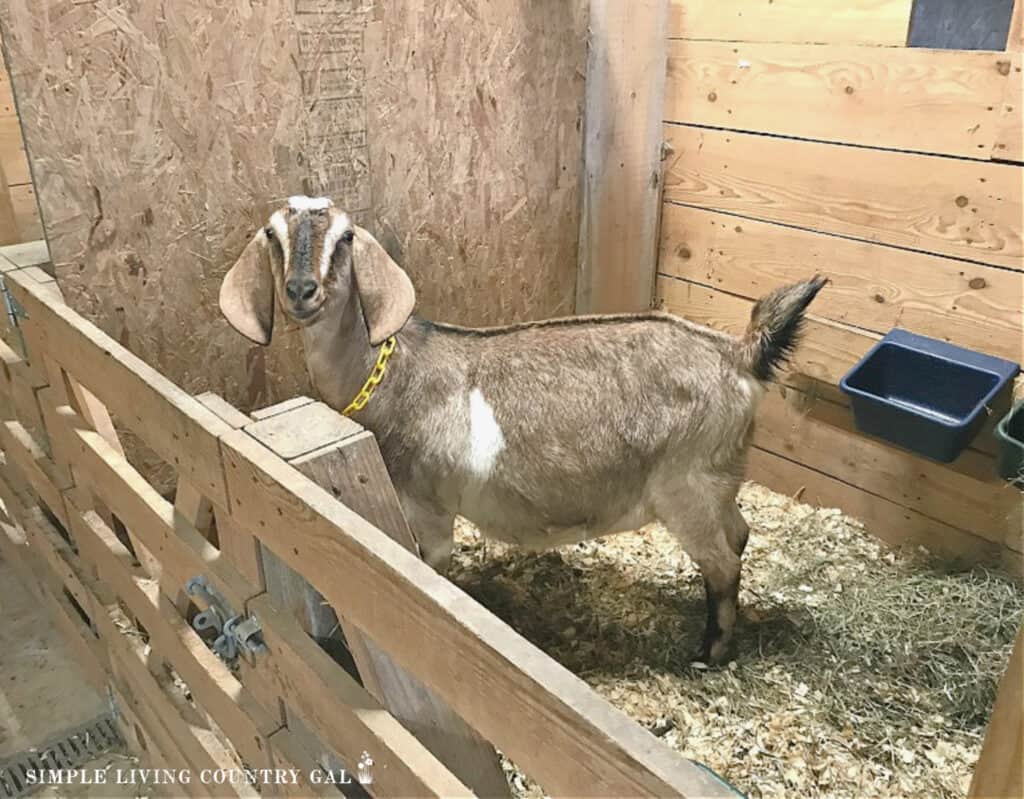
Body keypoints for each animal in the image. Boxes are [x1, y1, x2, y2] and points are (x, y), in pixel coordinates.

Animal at [220, 196, 827, 663]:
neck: (390, 369)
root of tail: (738, 354)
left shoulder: (427, 501)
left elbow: (431, 568)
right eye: (272, 234)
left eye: (345, 237)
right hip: (719, 478)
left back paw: (710, 653)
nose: (301, 291)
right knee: (740, 534)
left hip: (686, 486)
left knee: (724, 562)